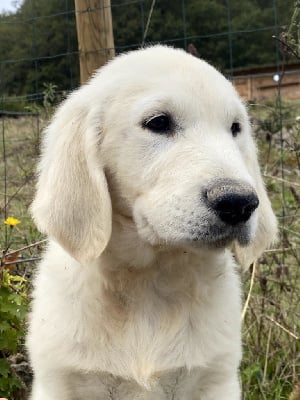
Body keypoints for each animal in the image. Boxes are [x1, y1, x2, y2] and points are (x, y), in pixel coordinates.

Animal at [27, 45, 278, 398]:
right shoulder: (58, 383)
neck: (149, 282)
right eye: (158, 122)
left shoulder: (216, 380)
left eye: (235, 128)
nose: (240, 203)